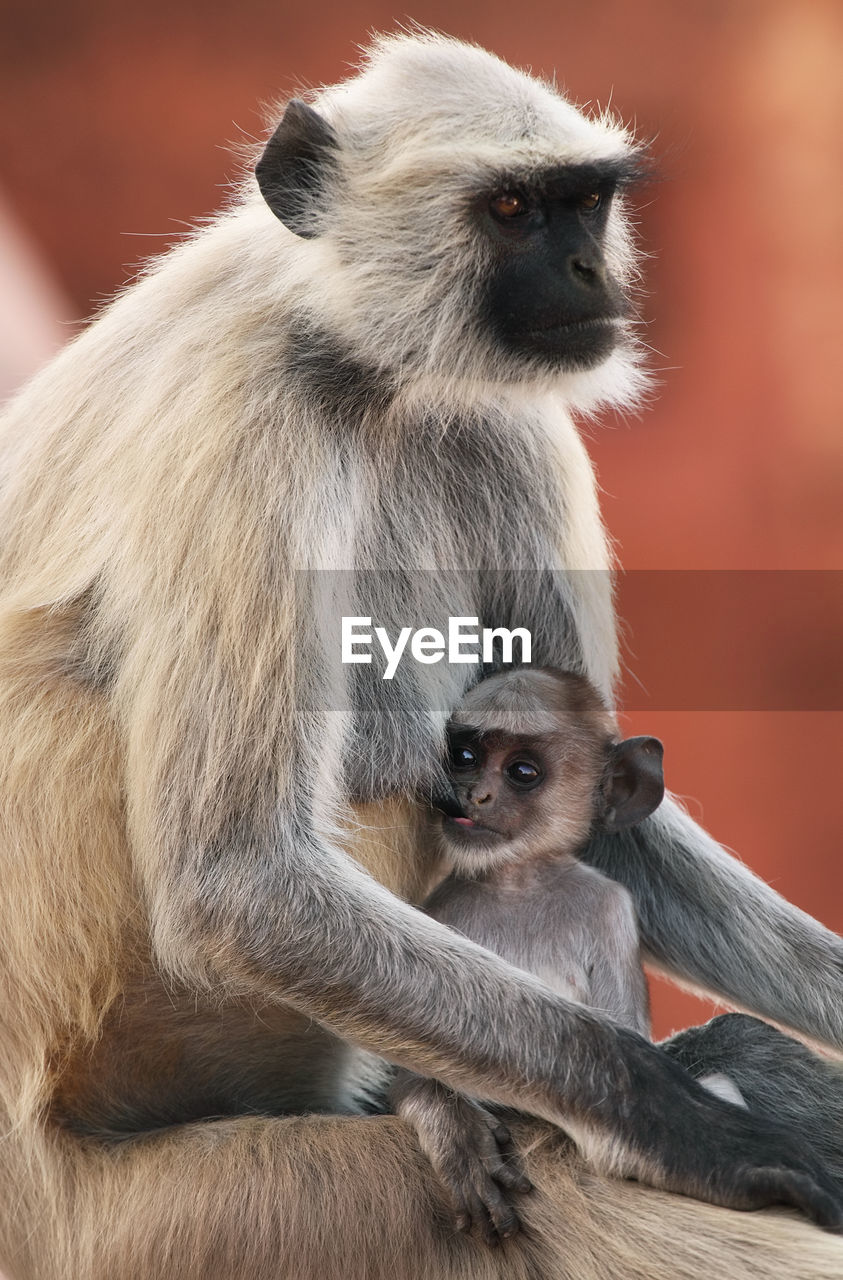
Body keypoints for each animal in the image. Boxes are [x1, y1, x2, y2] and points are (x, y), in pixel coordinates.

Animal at [391, 665, 670, 1244]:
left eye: (522, 771)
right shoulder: (436, 911)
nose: (474, 794)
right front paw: (451, 1127)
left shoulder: (609, 908)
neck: (517, 884)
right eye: (465, 757)